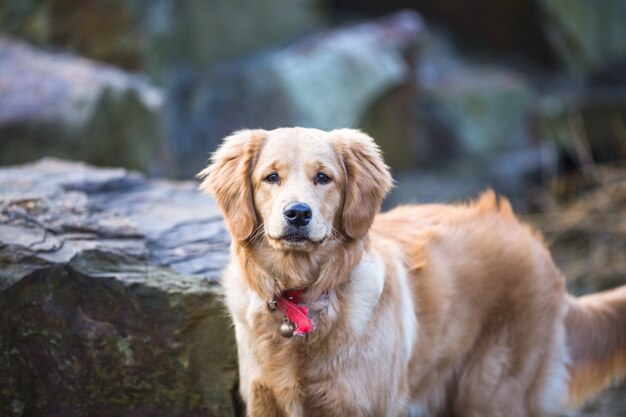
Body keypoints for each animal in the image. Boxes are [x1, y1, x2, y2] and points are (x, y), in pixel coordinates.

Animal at [199, 127, 624, 416]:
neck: (303, 297)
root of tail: (532, 238)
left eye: (324, 177)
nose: (297, 214)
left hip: (492, 393)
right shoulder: (264, 400)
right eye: (271, 177)